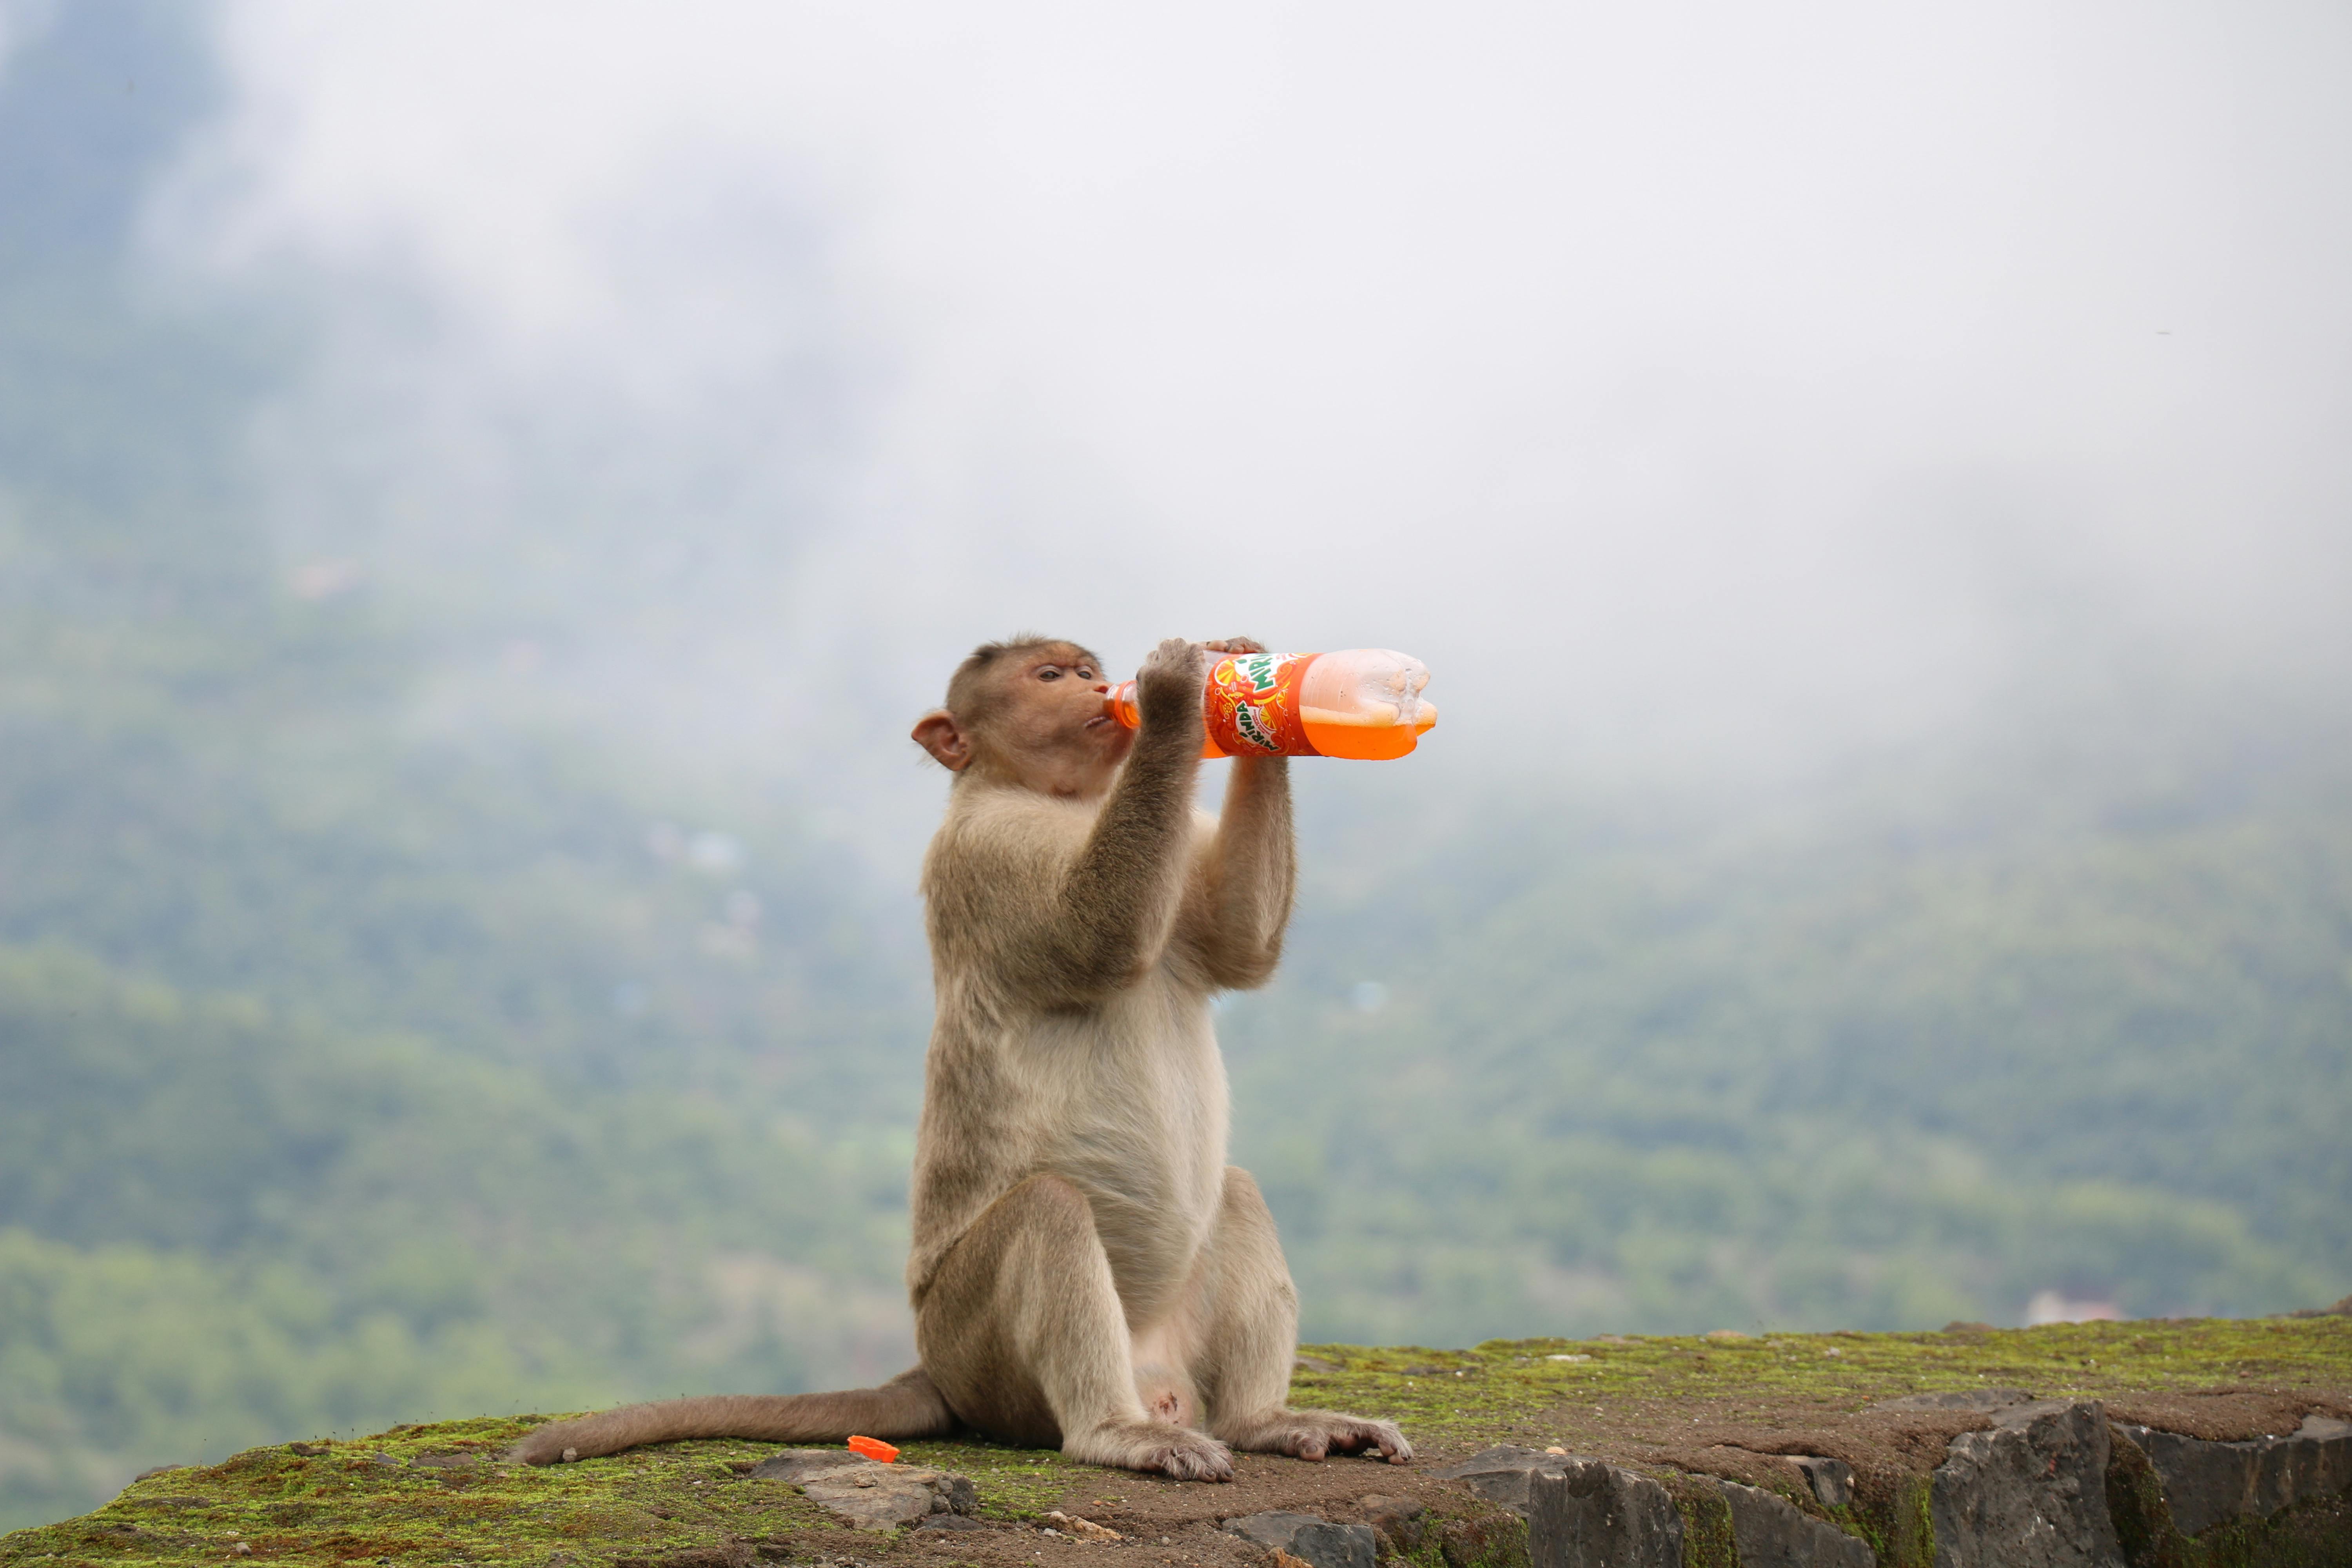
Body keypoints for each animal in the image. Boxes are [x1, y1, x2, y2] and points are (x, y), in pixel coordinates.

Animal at [506, 639, 1402, 1486]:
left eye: (1086, 668)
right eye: (1050, 675)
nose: (1097, 688)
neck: (1055, 797)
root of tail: (935, 1367)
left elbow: (1237, 945)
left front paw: (1249, 679)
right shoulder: (984, 850)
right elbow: (1099, 937)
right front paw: (1179, 693)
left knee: (1235, 1188)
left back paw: (1262, 1420)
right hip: (981, 1350)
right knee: (1047, 1211)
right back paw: (1113, 1432)